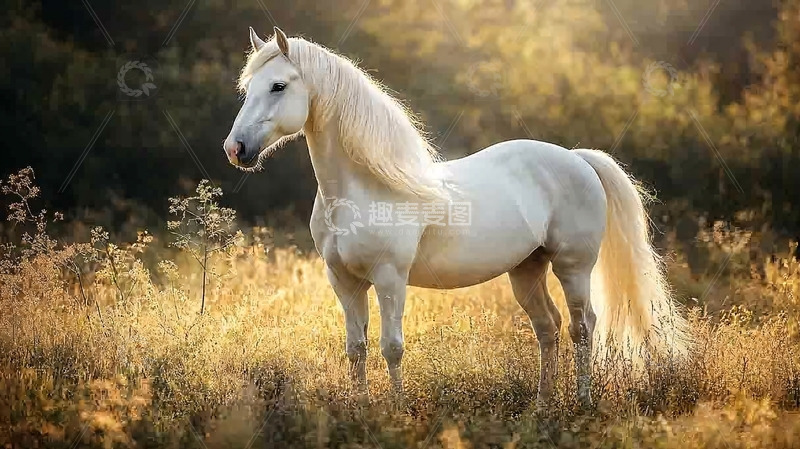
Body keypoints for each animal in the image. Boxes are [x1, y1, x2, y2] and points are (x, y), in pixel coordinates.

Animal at [223, 27, 691, 409]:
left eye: (278, 85)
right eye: (247, 88)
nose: (235, 149)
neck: (363, 188)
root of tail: (577, 159)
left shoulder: (390, 278)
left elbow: (391, 346)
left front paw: (397, 411)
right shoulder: (343, 280)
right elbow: (356, 348)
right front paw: (361, 409)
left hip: (573, 267)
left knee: (582, 327)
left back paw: (582, 402)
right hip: (527, 270)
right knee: (548, 328)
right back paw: (542, 406)